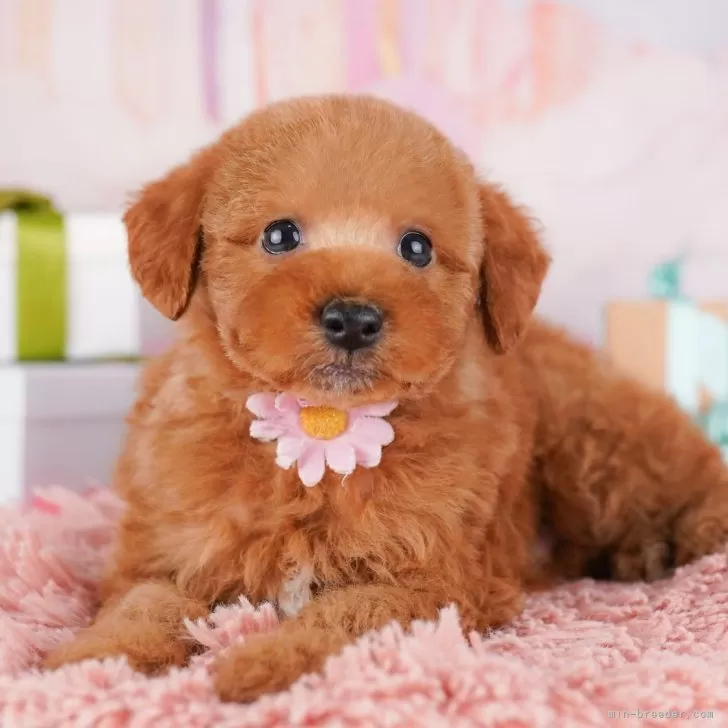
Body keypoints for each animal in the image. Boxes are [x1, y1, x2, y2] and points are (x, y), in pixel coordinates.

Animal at [44, 95, 728, 703]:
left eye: (416, 248)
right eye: (279, 236)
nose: (352, 318)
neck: (319, 427)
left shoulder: (434, 588)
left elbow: (345, 617)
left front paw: (264, 660)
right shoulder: (165, 550)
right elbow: (144, 604)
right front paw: (89, 661)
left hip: (595, 452)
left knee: (693, 484)